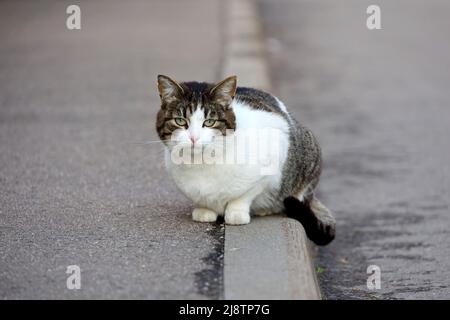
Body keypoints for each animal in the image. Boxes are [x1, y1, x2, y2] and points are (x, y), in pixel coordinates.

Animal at [155, 74, 334, 245]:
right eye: (180, 120)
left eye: (210, 122)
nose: (194, 138)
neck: (201, 163)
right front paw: (205, 209)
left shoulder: (274, 149)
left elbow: (245, 194)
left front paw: (236, 212)